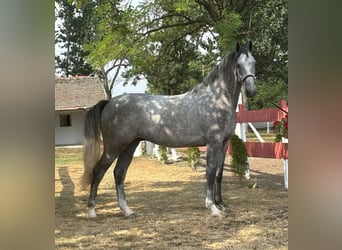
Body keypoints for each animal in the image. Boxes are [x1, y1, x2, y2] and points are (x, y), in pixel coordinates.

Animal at [81, 42, 255, 218]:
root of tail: (109, 103)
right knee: (98, 171)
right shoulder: (213, 143)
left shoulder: (224, 143)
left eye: (254, 63)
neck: (216, 99)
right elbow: (210, 173)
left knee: (119, 173)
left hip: (130, 146)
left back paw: (127, 210)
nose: (251, 91)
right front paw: (212, 207)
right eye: (239, 65)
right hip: (113, 147)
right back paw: (92, 211)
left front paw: (222, 204)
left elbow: (219, 174)